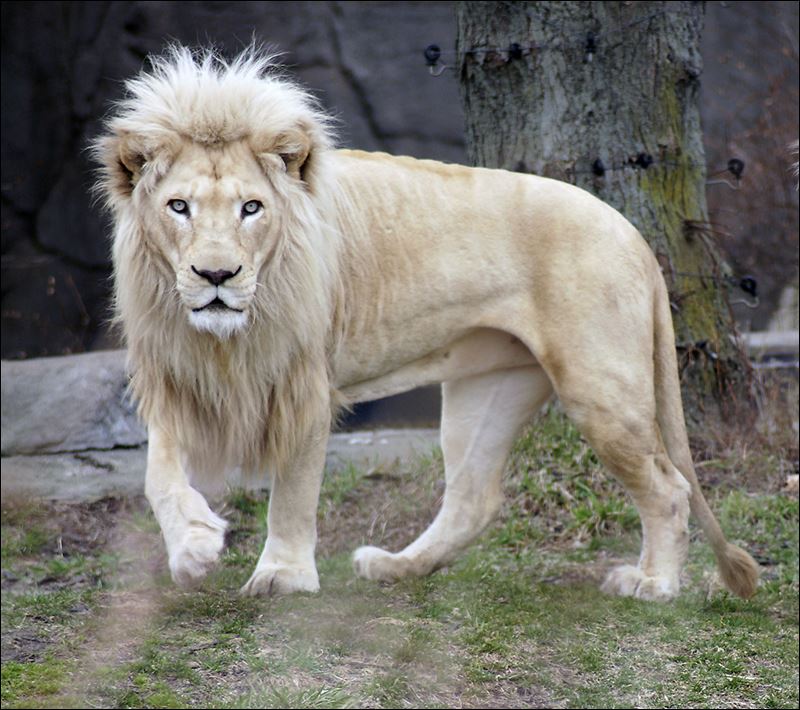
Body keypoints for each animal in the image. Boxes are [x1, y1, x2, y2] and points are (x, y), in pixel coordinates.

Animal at [90, 46, 760, 600]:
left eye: (251, 208)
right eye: (179, 207)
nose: (216, 275)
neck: (224, 341)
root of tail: (634, 233)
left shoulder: (305, 382)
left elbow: (294, 490)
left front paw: (282, 574)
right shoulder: (180, 375)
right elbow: (158, 474)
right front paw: (192, 549)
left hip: (600, 388)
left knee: (668, 487)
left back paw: (654, 583)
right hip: (487, 389)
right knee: (473, 497)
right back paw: (397, 566)